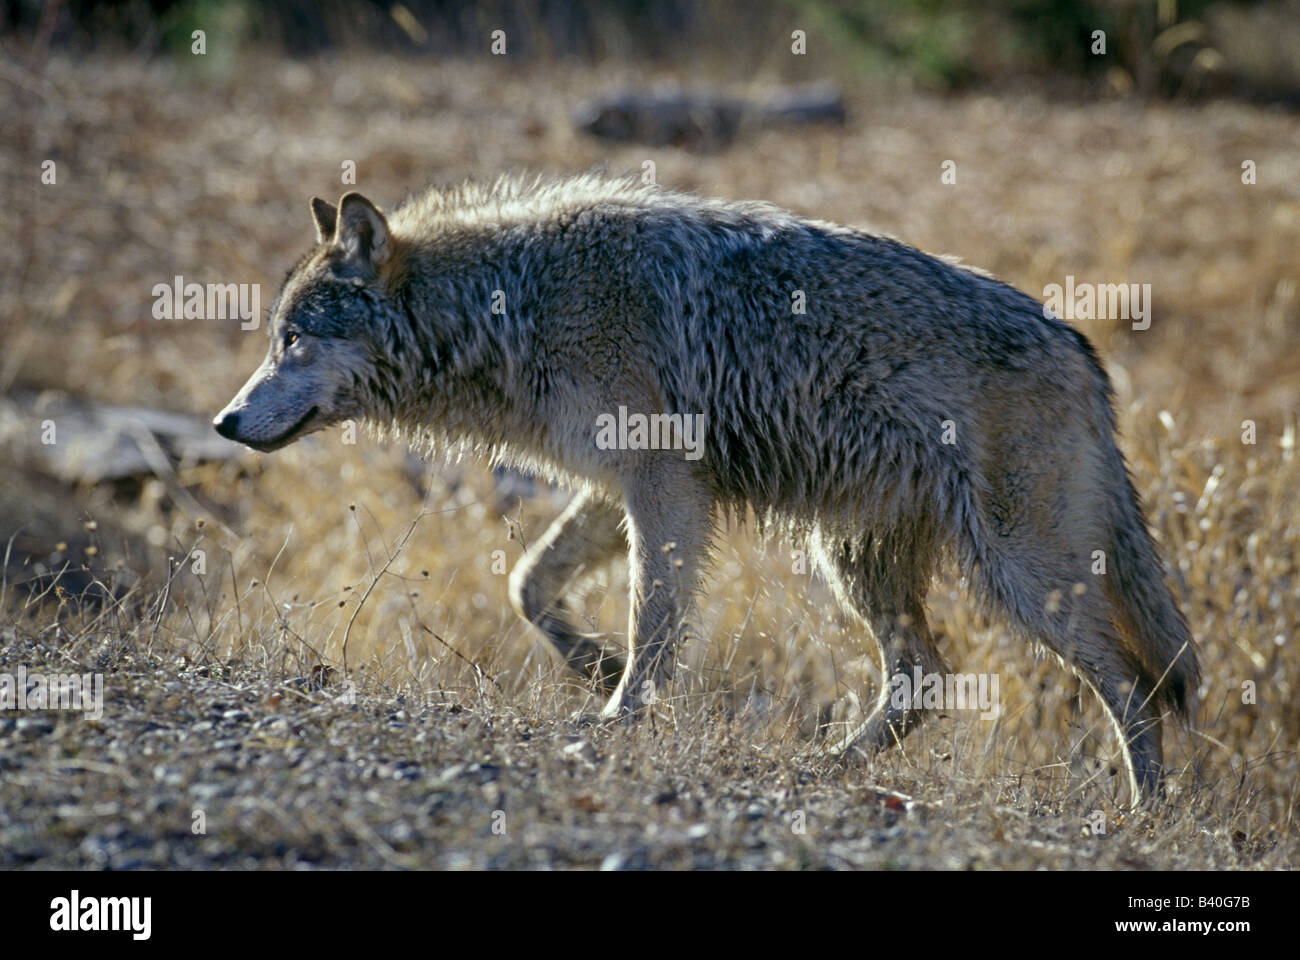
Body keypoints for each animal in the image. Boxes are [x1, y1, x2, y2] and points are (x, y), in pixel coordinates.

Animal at [210, 171, 1196, 801]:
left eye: (294, 339)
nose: (223, 421)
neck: (516, 304)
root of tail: (1084, 350)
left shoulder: (662, 485)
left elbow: (654, 621)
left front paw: (619, 718)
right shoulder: (623, 485)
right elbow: (529, 584)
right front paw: (597, 669)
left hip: (1022, 577)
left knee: (1132, 687)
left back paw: (1144, 814)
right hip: (856, 559)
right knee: (927, 680)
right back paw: (823, 769)